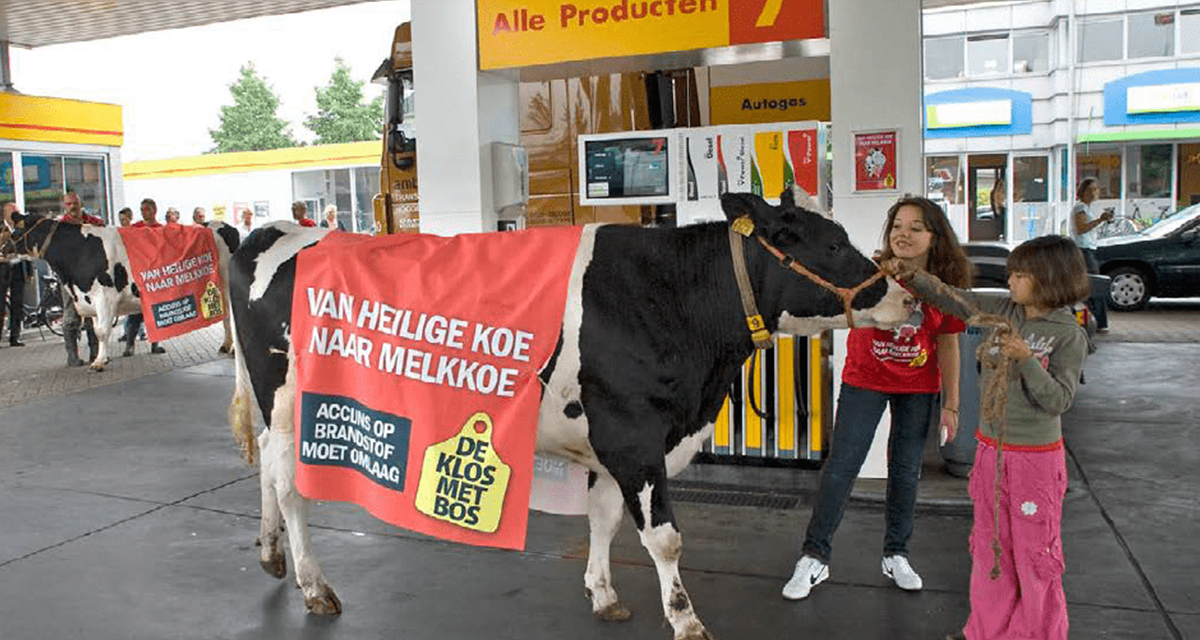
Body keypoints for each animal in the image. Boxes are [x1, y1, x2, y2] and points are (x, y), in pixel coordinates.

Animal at [5, 212, 240, 367]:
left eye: (18, 228)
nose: (3, 248)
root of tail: (223, 224)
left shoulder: (104, 297)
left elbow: (102, 331)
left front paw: (99, 362)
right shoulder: (89, 299)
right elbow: (95, 331)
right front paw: (100, 357)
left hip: (228, 283)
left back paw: (232, 349)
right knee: (226, 317)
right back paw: (226, 345)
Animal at [226, 190, 916, 638]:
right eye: (834, 243)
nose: (908, 298)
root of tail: (271, 231)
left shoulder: (617, 440)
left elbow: (604, 518)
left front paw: (604, 594)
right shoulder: (633, 436)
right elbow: (664, 536)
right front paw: (685, 618)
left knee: (265, 470)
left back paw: (271, 556)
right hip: (288, 404)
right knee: (289, 485)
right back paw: (314, 585)